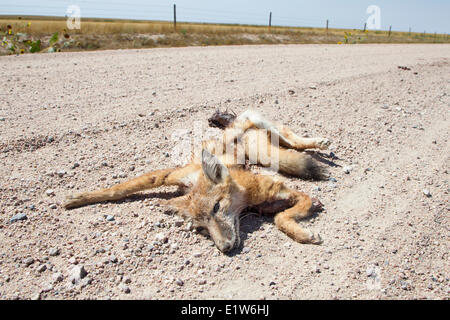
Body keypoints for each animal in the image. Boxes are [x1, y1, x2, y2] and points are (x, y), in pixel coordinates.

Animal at [63, 110, 330, 252]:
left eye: (217, 208)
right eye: (201, 227)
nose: (224, 249)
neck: (248, 197)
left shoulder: (293, 194)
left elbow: (280, 219)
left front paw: (304, 234)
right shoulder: (173, 175)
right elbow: (123, 188)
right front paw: (79, 198)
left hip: (262, 143)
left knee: (288, 136)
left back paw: (320, 143)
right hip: (262, 149)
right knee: (288, 140)